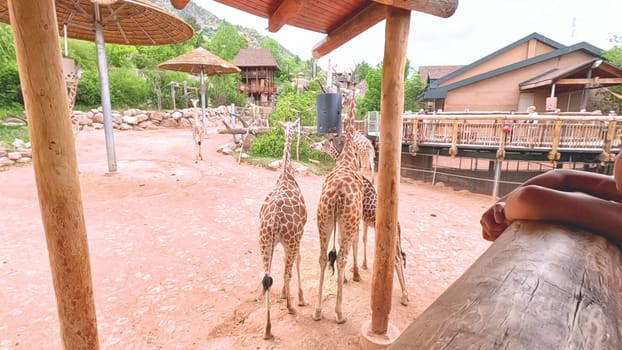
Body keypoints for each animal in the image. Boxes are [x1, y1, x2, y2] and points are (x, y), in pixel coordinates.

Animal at [312, 138, 410, 304]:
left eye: (323, 143)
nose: (313, 145)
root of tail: (397, 224)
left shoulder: (356, 218)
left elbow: (353, 241)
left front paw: (352, 273)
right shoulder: (362, 219)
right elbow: (361, 240)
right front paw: (358, 268)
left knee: (396, 259)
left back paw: (403, 295)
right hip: (396, 239)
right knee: (399, 257)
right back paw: (405, 294)